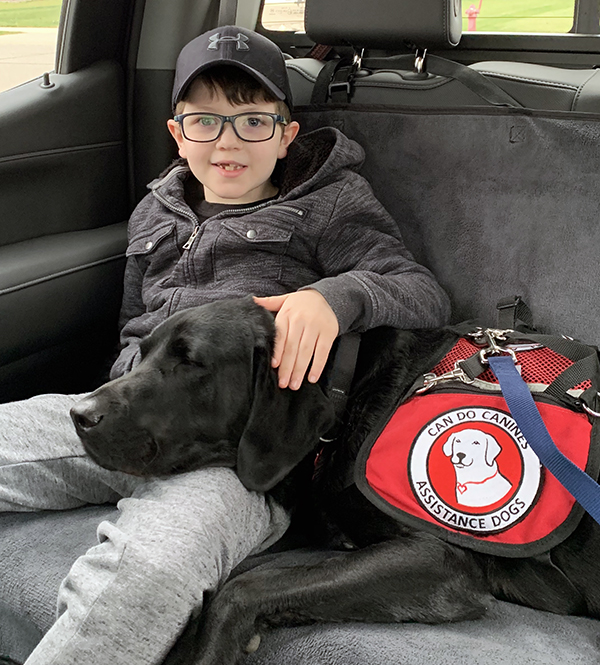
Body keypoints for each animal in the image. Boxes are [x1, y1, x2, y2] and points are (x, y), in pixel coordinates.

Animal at [69, 296, 600, 664]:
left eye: (191, 361)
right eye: (142, 354)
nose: (80, 415)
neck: (348, 400)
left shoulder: (439, 559)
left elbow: (246, 586)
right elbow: (241, 577)